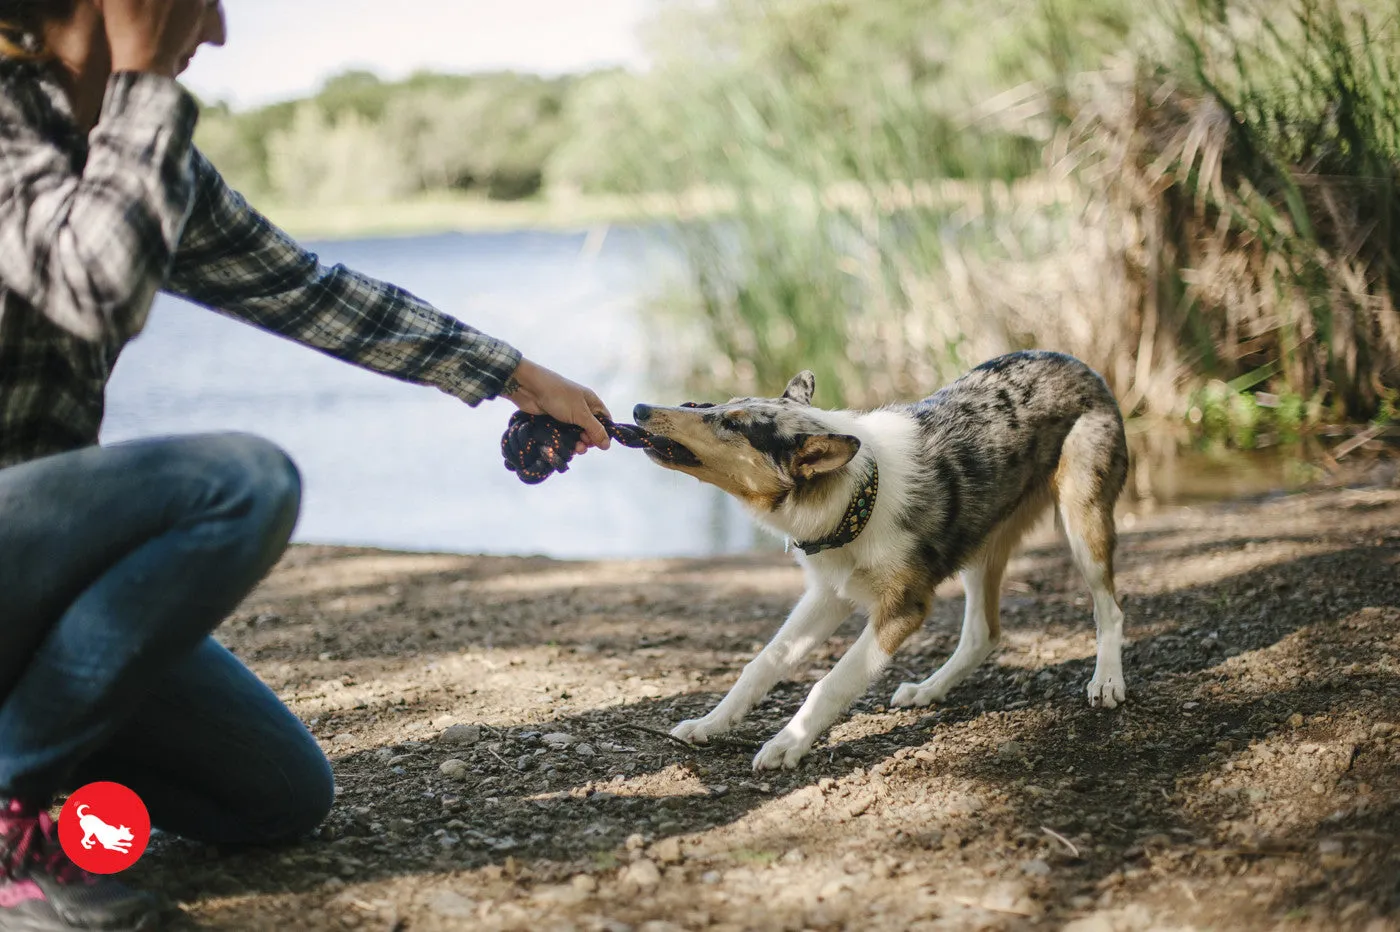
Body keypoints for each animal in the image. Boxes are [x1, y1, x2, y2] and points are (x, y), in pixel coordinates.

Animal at [635, 349, 1125, 766]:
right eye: (718, 406)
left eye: (735, 425)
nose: (639, 409)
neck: (859, 496)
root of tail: (1077, 362)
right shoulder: (827, 596)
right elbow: (763, 664)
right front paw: (711, 723)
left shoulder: (902, 611)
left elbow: (829, 683)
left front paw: (787, 744)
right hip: (980, 546)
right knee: (983, 633)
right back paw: (929, 690)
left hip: (1083, 524)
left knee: (1109, 610)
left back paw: (1106, 680)